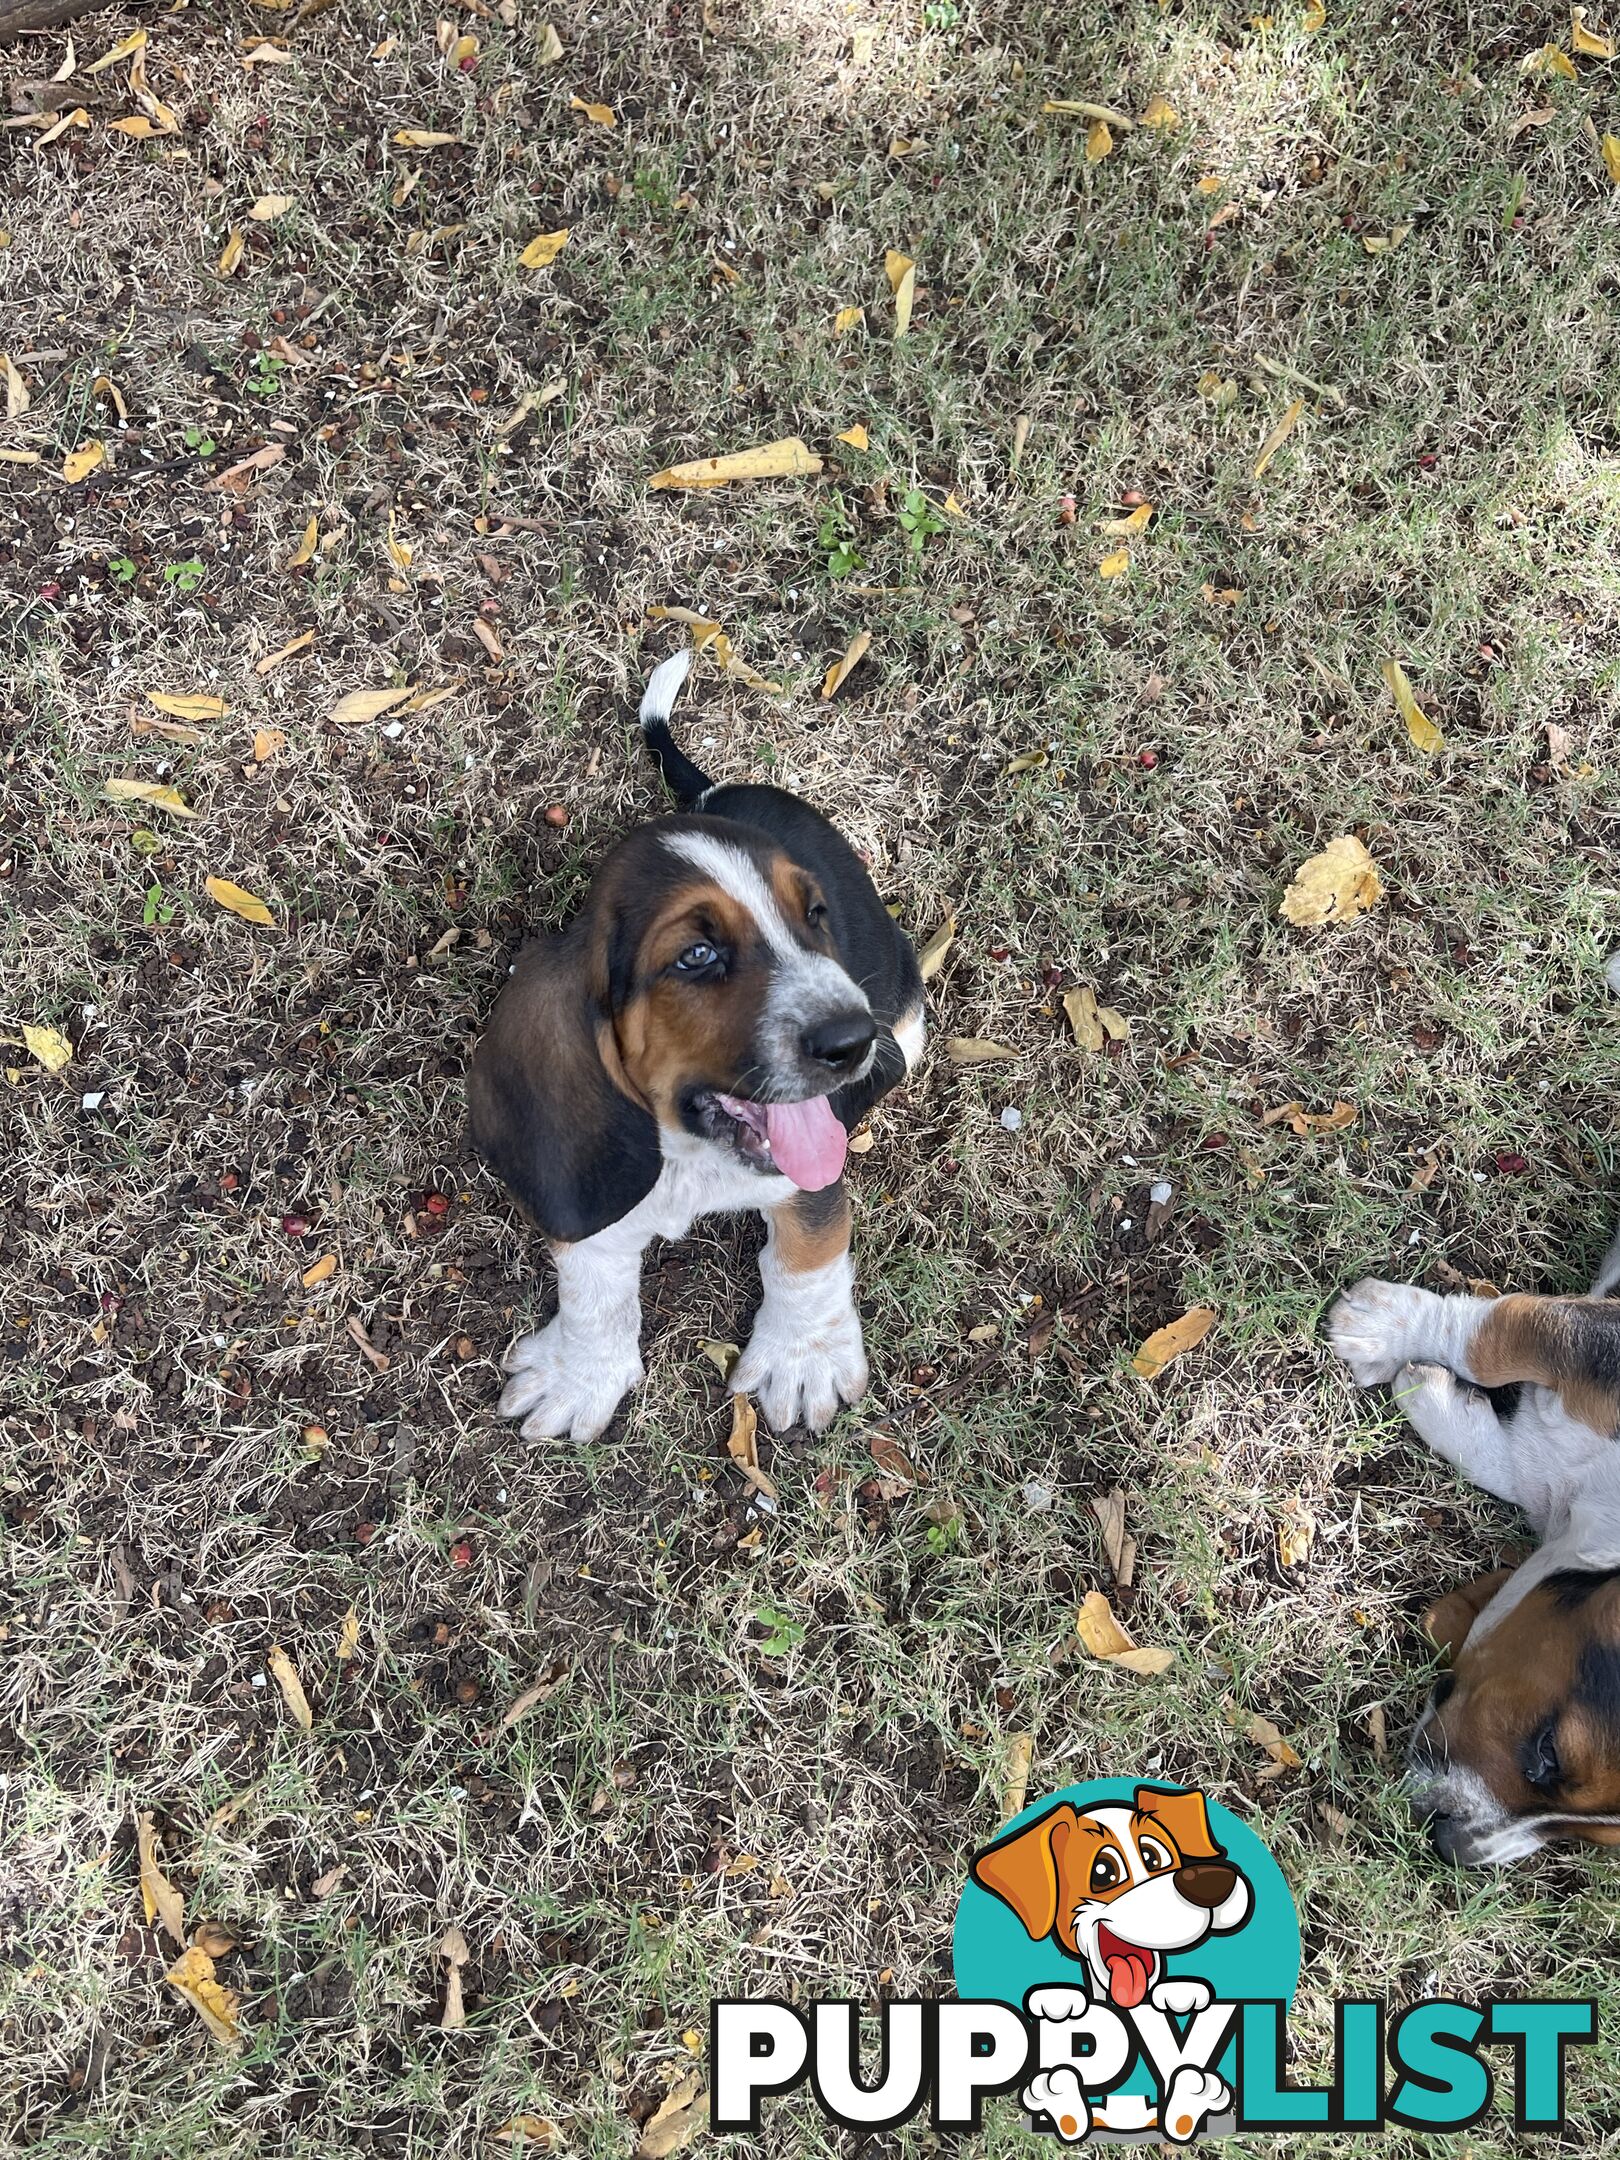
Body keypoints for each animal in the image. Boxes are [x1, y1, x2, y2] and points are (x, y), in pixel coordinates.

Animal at [468, 648, 924, 1442]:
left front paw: (801, 1359)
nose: (852, 1040)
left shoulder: (811, 1179)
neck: (692, 1156)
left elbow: (807, 1253)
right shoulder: (593, 1211)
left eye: (815, 917)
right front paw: (581, 1374)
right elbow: (592, 1289)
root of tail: (717, 791)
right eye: (696, 957)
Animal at [1330, 1140, 1620, 1866]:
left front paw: (1427, 1390)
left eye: (1594, 1838)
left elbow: (1519, 1461)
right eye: (1547, 1753)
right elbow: (1498, 1336)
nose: (1452, 1849)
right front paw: (1381, 1327)